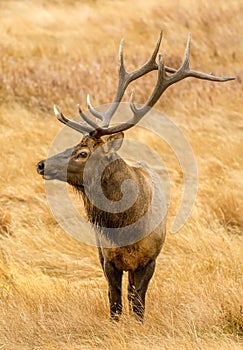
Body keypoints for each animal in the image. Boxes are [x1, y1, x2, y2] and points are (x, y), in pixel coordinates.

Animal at [36, 32, 234, 320]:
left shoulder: (150, 259)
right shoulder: (107, 259)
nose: (41, 164)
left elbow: (139, 305)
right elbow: (115, 304)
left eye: (83, 153)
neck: (126, 228)